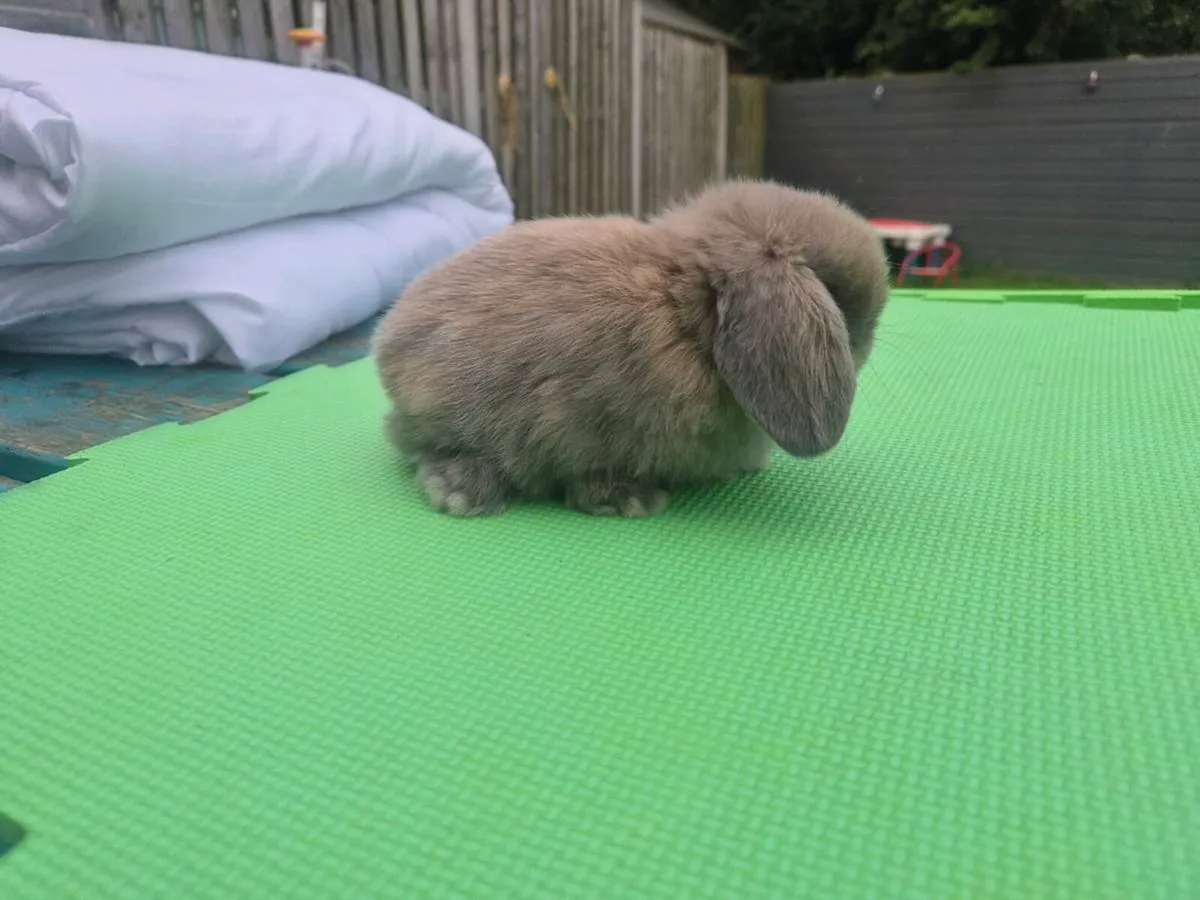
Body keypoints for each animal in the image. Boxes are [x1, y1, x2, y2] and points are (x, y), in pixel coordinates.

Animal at [372, 178, 889, 517]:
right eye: (836, 293)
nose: (867, 341)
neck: (682, 315)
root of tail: (385, 346)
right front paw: (631, 500)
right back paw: (461, 491)